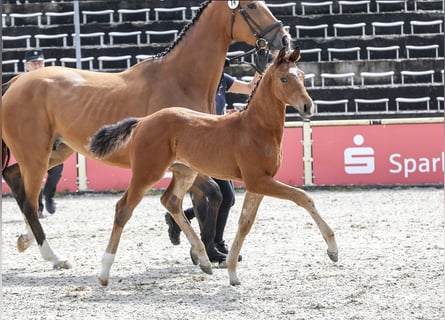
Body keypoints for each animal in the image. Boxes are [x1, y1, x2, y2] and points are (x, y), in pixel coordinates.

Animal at [87, 48, 336, 286]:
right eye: (284, 79)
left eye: (301, 75)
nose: (308, 106)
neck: (255, 128)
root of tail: (143, 121)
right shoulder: (259, 180)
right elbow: (303, 197)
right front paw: (333, 249)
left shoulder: (258, 183)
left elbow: (245, 223)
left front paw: (232, 272)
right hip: (147, 172)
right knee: (123, 209)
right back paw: (104, 273)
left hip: (185, 172)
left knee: (171, 201)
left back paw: (203, 259)